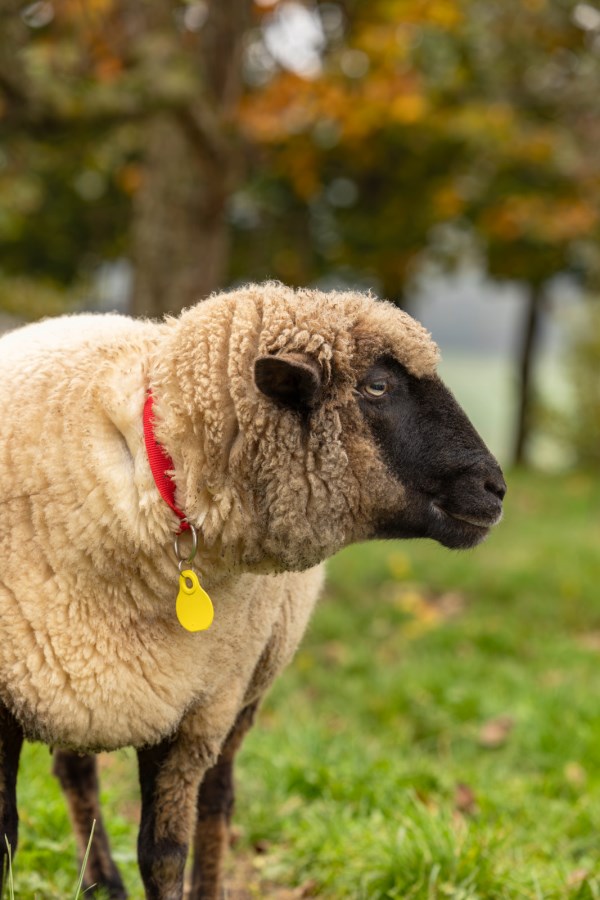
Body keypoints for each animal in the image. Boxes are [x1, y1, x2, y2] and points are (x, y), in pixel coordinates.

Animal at [0, 282, 506, 899]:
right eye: (378, 385)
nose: (495, 488)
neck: (156, 473)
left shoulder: (200, 711)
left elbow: (164, 853)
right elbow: (5, 836)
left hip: (240, 685)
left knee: (215, 802)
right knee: (76, 771)